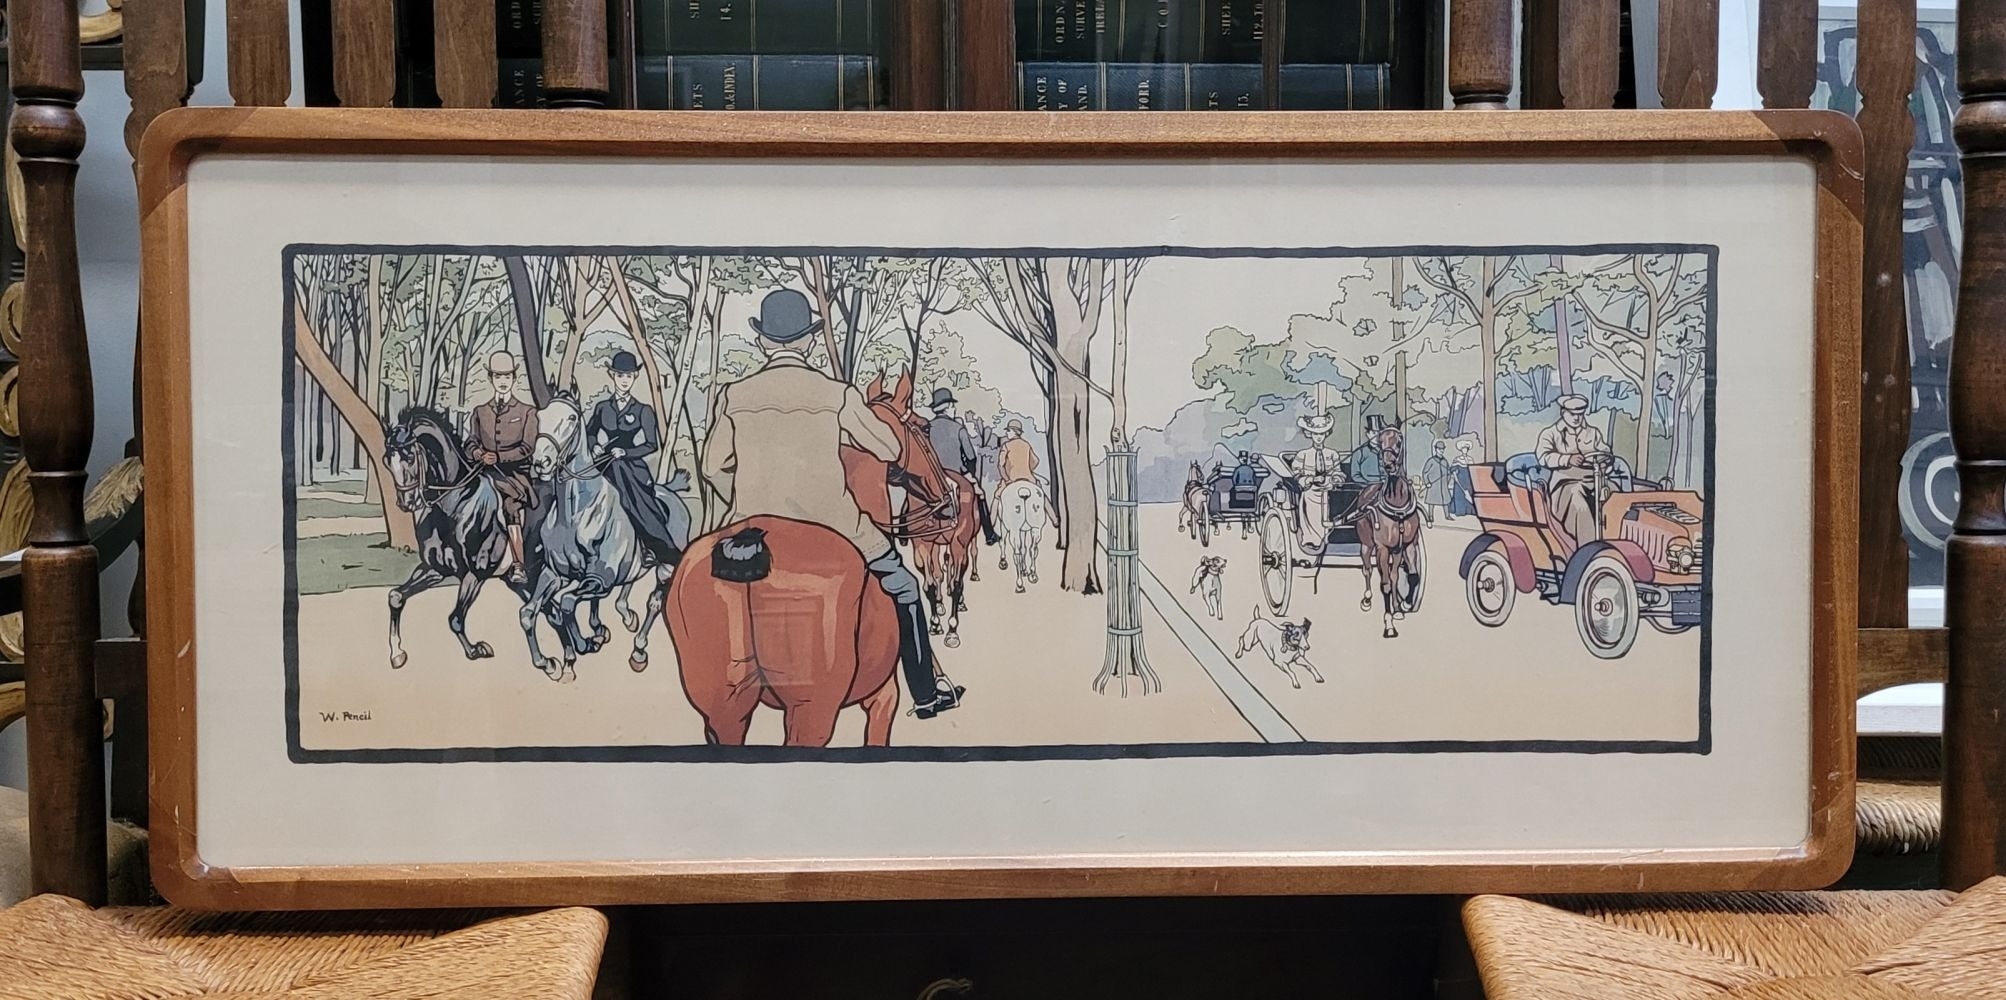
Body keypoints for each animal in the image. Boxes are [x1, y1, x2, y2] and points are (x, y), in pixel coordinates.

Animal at [380, 407, 528, 670]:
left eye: (410, 457)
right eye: (387, 460)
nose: (407, 503)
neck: (455, 505)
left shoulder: (475, 574)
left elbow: (455, 618)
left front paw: (476, 650)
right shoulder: (434, 569)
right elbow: (396, 596)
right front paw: (397, 653)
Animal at [524, 390, 693, 683]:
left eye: (571, 417)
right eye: (540, 415)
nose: (540, 463)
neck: (574, 514)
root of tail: (671, 492)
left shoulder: (599, 579)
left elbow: (567, 604)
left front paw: (585, 645)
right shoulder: (554, 574)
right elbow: (529, 613)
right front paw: (548, 663)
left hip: (665, 568)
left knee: (654, 602)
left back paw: (638, 651)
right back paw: (621, 616)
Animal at [1345, 423, 1426, 639]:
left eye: (1399, 440)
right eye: (1381, 442)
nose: (1388, 466)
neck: (1397, 505)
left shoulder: (1409, 544)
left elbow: (1411, 576)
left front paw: (1404, 604)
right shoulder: (1382, 549)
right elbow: (1386, 585)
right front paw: (1389, 625)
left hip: (1396, 551)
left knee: (1396, 575)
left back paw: (1397, 607)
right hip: (1366, 544)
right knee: (1367, 569)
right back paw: (1367, 599)